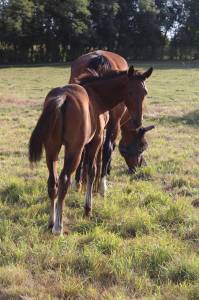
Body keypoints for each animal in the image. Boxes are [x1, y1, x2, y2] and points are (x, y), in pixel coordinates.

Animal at [29, 65, 151, 234]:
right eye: (130, 92)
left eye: (145, 92)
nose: (138, 121)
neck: (97, 96)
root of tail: (62, 98)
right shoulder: (96, 140)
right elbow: (92, 170)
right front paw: (88, 208)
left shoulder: (85, 145)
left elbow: (86, 167)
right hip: (74, 150)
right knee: (64, 180)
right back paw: (58, 227)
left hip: (52, 149)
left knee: (52, 182)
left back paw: (51, 222)